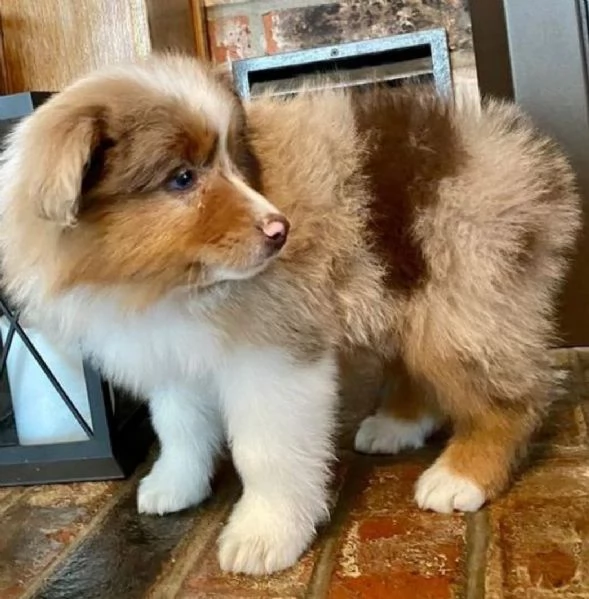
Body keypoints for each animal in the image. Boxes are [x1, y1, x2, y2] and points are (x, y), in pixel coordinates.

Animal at [0, 56, 580, 576]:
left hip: (463, 298)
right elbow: (179, 427)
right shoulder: (174, 354)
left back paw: (462, 476)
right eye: (182, 178)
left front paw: (264, 534)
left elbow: (266, 453)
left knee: (514, 397)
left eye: (235, 163)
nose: (280, 231)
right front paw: (174, 485)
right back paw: (396, 424)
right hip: (418, 298)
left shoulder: (273, 355)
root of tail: (531, 160)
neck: (163, 284)